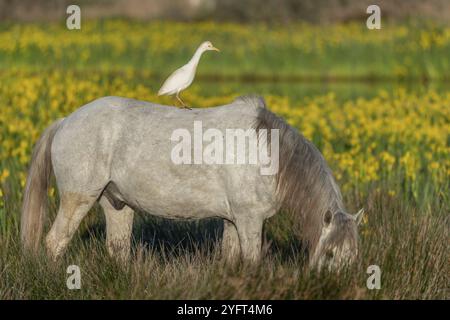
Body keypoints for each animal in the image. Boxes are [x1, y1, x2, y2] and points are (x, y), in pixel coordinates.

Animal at [21, 95, 364, 270]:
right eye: (330, 255)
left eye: (352, 257)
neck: (266, 150)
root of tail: (65, 121)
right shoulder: (249, 219)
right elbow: (252, 261)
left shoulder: (233, 220)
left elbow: (231, 259)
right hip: (79, 198)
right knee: (55, 243)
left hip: (116, 203)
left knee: (116, 249)